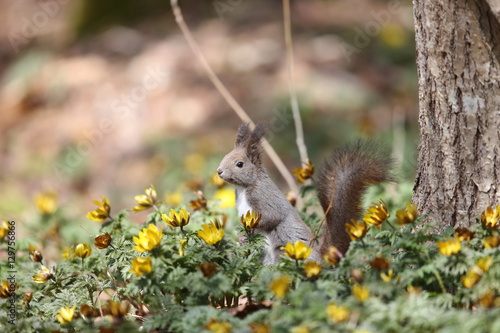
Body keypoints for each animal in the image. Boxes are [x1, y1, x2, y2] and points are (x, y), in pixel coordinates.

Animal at [216, 122, 394, 264]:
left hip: (284, 246)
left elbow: (272, 216)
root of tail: (321, 260)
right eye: (225, 156)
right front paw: (241, 237)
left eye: (240, 164)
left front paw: (249, 231)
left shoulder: (264, 197)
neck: (245, 187)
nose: (219, 171)